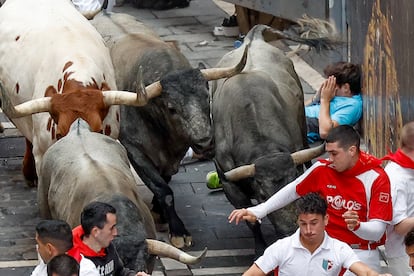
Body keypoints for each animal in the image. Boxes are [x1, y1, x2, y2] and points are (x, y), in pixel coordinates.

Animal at [88, 12, 246, 249]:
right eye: (172, 108)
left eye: (206, 98)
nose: (205, 143)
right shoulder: (135, 150)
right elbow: (164, 189)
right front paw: (178, 230)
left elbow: (165, 181)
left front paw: (159, 211)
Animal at [212, 24, 334, 256]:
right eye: (262, 194)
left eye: (293, 183)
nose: (290, 230)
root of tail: (253, 38)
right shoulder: (230, 186)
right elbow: (251, 218)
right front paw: (260, 247)